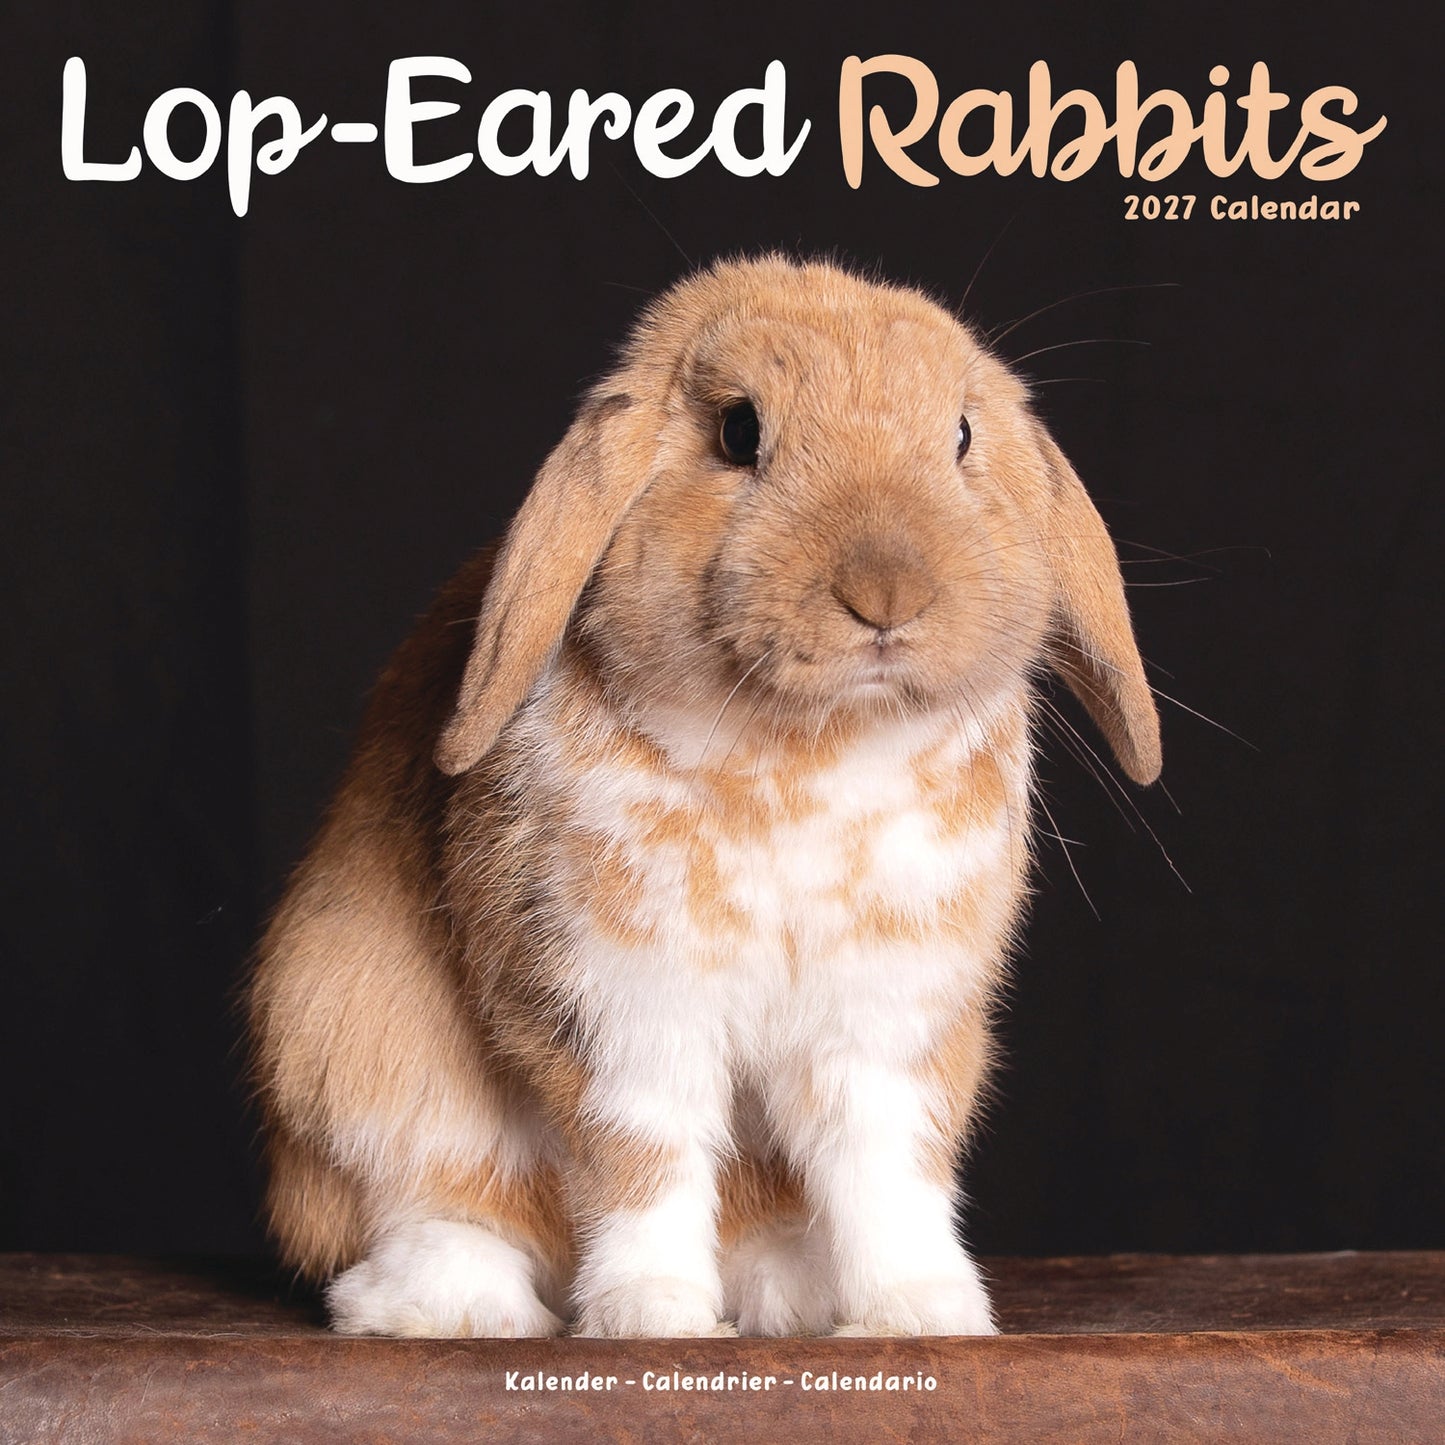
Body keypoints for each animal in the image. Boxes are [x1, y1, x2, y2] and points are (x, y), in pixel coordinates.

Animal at [247, 254, 1161, 1340]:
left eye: (962, 436)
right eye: (737, 432)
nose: (886, 595)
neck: (807, 748)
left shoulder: (888, 1024)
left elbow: (887, 1169)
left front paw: (921, 1309)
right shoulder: (617, 1003)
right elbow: (642, 1155)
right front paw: (653, 1313)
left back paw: (792, 1288)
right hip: (348, 1044)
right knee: (445, 1202)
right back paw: (455, 1302)